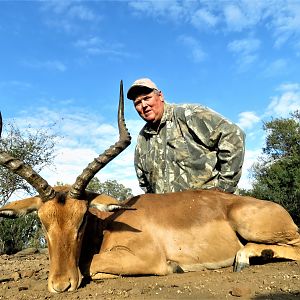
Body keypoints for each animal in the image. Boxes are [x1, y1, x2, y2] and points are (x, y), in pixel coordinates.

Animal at [0, 82, 300, 292]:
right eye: (42, 221)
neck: (109, 224)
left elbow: (89, 263)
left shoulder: (147, 258)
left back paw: (244, 258)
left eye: (82, 219)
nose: (61, 285)